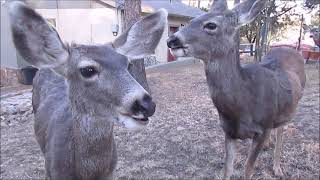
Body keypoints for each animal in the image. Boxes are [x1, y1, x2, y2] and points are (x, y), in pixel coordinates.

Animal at [7, 1, 168, 180]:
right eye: (88, 70)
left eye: (128, 64)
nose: (147, 105)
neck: (88, 173)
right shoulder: (53, 173)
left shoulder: (110, 173)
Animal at [166, 0, 306, 179]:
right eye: (191, 20)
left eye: (211, 25)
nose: (171, 40)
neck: (243, 104)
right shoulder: (228, 131)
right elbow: (227, 168)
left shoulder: (263, 128)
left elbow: (248, 167)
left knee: (282, 130)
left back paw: (277, 168)